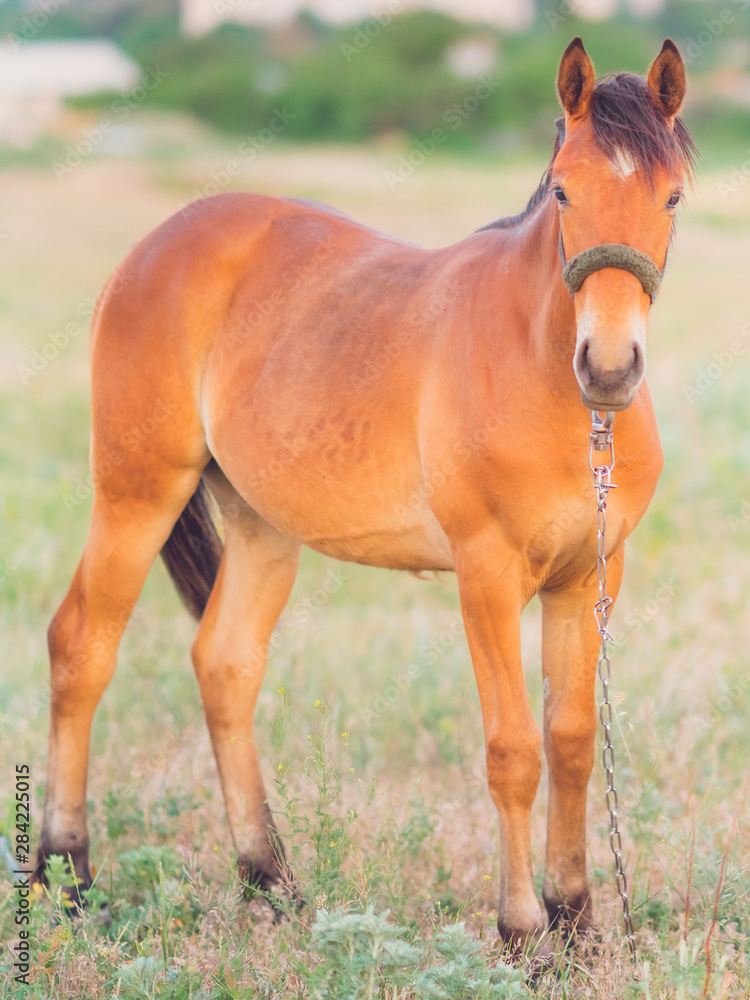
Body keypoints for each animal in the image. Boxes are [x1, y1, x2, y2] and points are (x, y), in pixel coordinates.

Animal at [35, 37, 695, 952]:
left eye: (672, 196)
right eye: (565, 189)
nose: (607, 366)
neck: (551, 386)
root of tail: (160, 242)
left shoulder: (590, 576)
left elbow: (570, 740)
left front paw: (574, 920)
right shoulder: (487, 576)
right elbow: (513, 751)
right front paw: (521, 932)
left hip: (261, 527)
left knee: (224, 664)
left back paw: (272, 882)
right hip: (137, 494)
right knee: (82, 648)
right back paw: (65, 880)